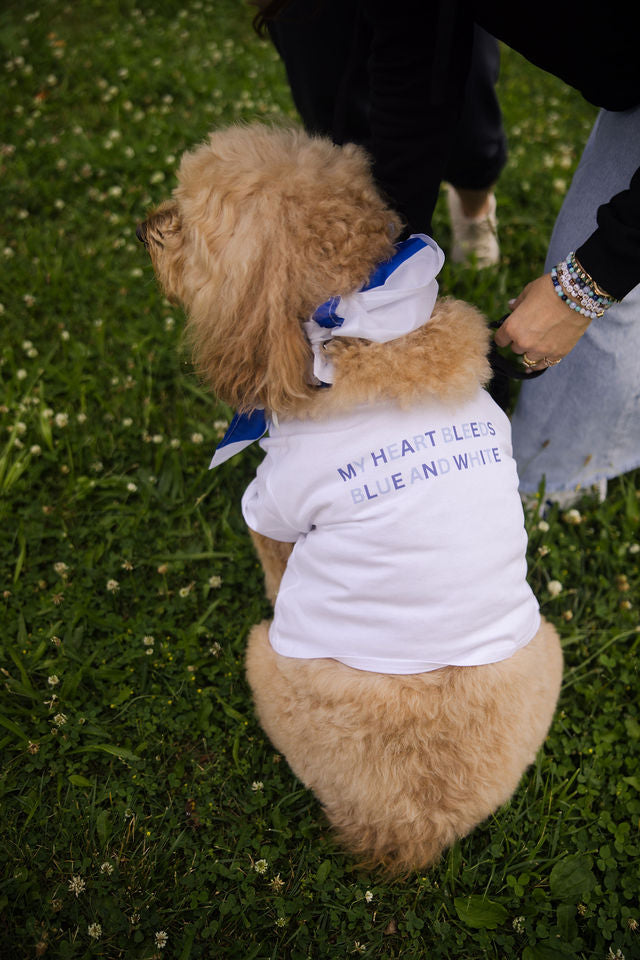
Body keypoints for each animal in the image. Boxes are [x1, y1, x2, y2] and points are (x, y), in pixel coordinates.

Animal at [138, 124, 564, 872]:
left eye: (187, 220)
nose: (144, 228)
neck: (362, 330)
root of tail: (408, 831)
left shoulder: (272, 507)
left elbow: (275, 564)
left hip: (262, 656)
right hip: (548, 647)